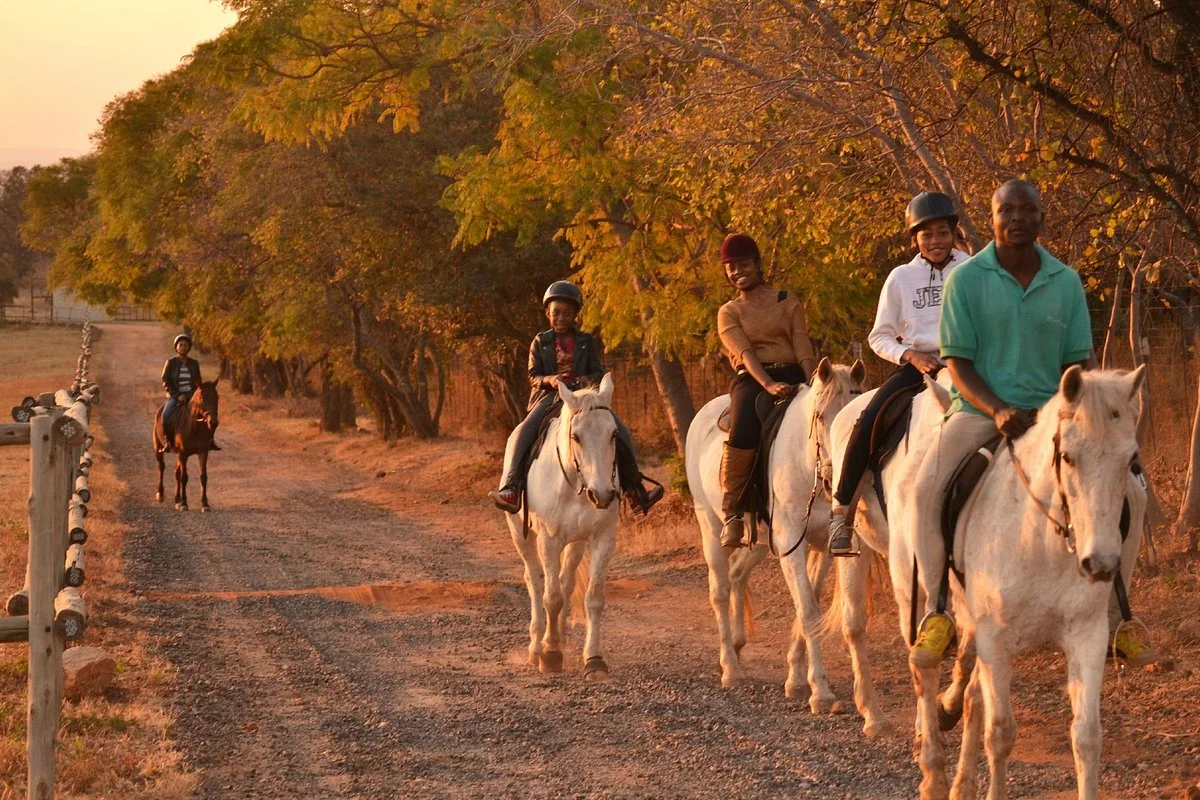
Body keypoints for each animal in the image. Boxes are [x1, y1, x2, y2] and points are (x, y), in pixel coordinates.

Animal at [154, 380, 220, 512]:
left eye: (217, 397)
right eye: (202, 398)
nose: (213, 422)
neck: (194, 426)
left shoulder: (203, 452)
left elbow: (203, 476)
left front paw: (205, 504)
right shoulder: (183, 453)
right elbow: (184, 477)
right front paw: (184, 503)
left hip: (179, 454)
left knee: (176, 472)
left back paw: (177, 500)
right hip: (159, 448)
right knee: (161, 467)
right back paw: (161, 494)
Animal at [503, 373, 622, 681]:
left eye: (614, 434)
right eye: (576, 436)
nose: (603, 495)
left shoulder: (603, 538)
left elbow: (593, 598)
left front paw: (593, 660)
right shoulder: (549, 539)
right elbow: (552, 597)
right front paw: (551, 655)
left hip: (576, 542)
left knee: (566, 582)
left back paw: (558, 638)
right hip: (522, 537)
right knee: (535, 580)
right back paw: (537, 646)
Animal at [684, 357, 865, 707]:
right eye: (820, 416)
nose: (834, 480)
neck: (806, 463)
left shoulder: (822, 545)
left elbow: (809, 605)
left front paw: (796, 678)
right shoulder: (791, 543)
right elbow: (807, 610)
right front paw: (820, 691)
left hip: (760, 540)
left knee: (738, 573)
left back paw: (738, 645)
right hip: (709, 524)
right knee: (719, 590)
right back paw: (730, 668)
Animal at [900, 366, 1146, 800]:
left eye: (1130, 459)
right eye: (1068, 456)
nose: (1100, 564)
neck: (1041, 542)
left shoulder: (1087, 635)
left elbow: (1086, 737)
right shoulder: (995, 639)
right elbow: (1000, 734)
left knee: (971, 696)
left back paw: (960, 780)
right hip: (925, 596)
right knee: (924, 670)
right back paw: (932, 774)